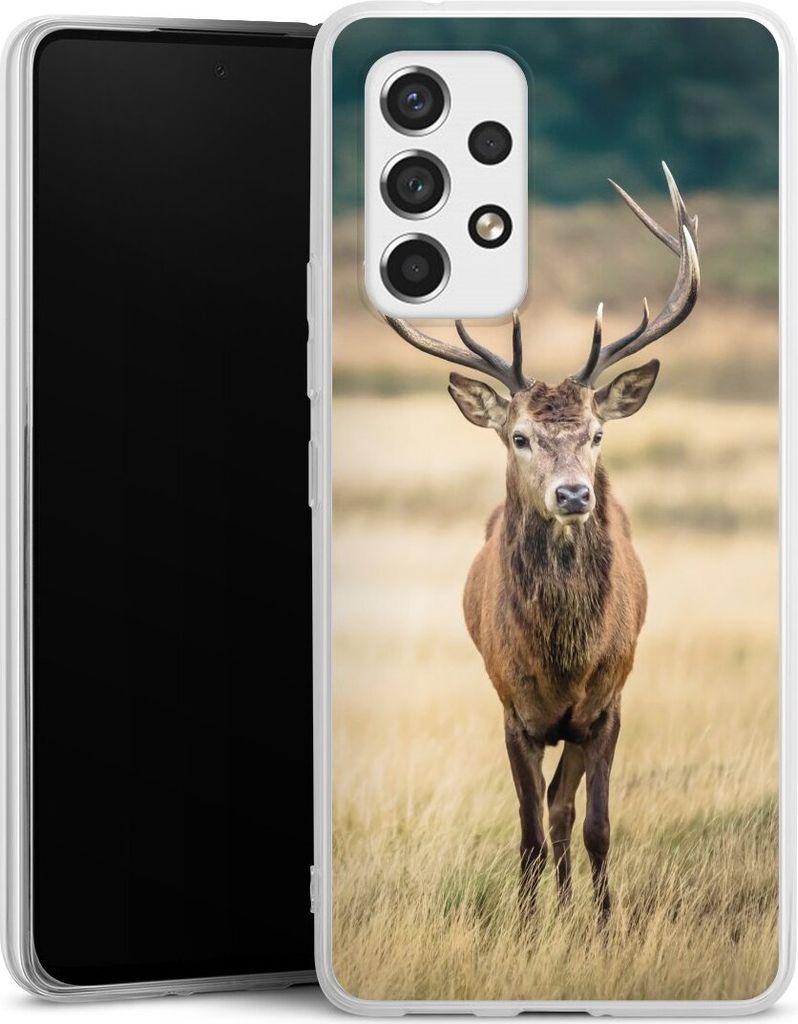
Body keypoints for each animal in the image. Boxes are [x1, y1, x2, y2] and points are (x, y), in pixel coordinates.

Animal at [384, 164, 699, 926]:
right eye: (520, 436)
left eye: (597, 434)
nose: (575, 494)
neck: (562, 659)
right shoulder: (512, 708)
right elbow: (527, 828)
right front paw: (528, 929)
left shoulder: (607, 705)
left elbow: (594, 826)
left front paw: (606, 926)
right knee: (547, 812)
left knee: (565, 810)